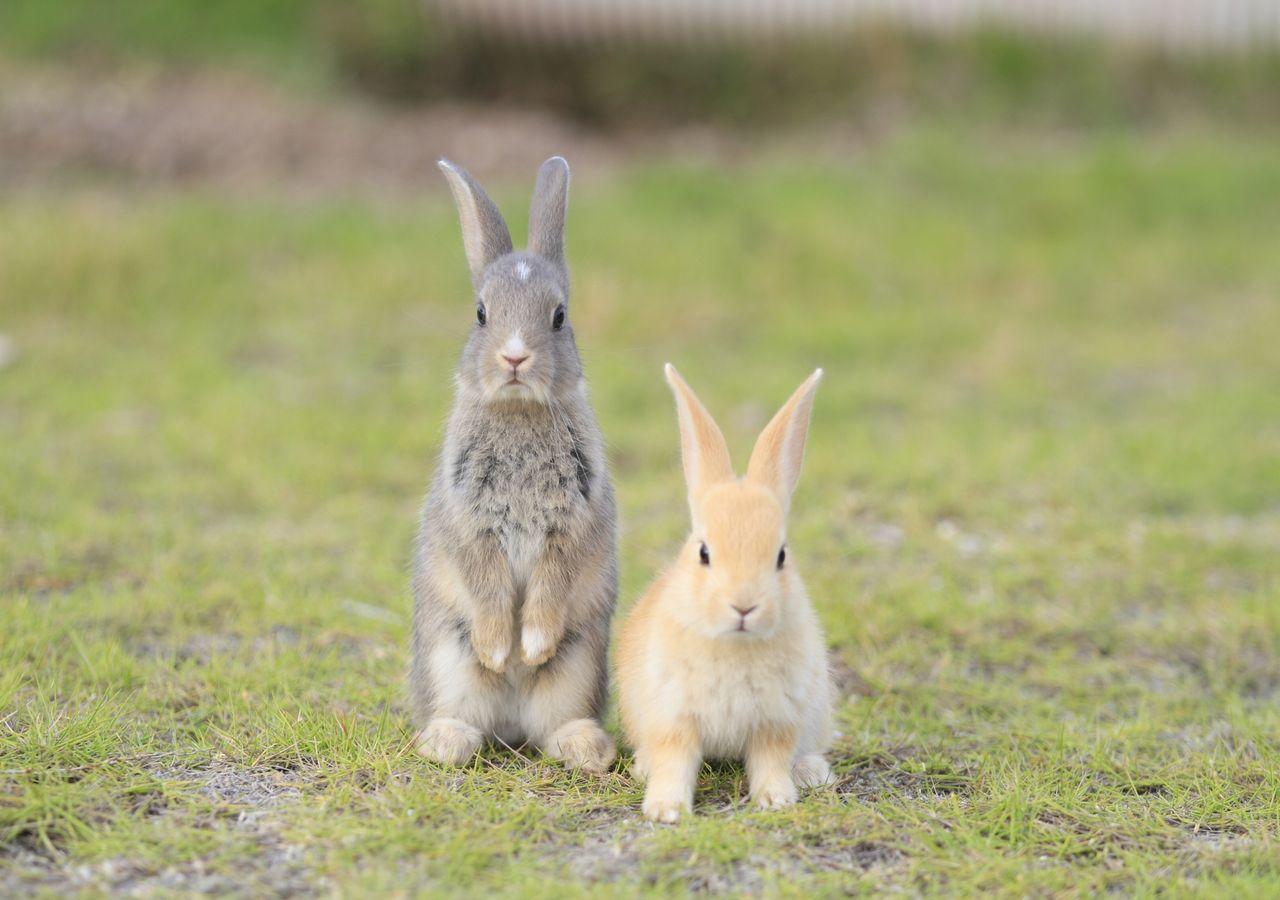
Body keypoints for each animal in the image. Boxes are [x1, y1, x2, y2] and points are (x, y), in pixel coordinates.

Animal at [404, 156, 614, 773]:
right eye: (480, 314)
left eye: (559, 316)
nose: (514, 356)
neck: (519, 411)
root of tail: (512, 725)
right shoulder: (470, 521)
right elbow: (486, 581)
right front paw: (501, 650)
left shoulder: (573, 521)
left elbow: (552, 583)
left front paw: (532, 646)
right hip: (448, 659)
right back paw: (446, 741)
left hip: (580, 663)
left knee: (554, 726)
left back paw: (588, 749)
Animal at [614, 366, 834, 824]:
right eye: (704, 553)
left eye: (781, 555)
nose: (744, 606)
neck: (734, 643)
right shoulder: (672, 717)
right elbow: (674, 761)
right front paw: (666, 810)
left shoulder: (776, 720)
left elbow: (770, 760)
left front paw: (776, 799)